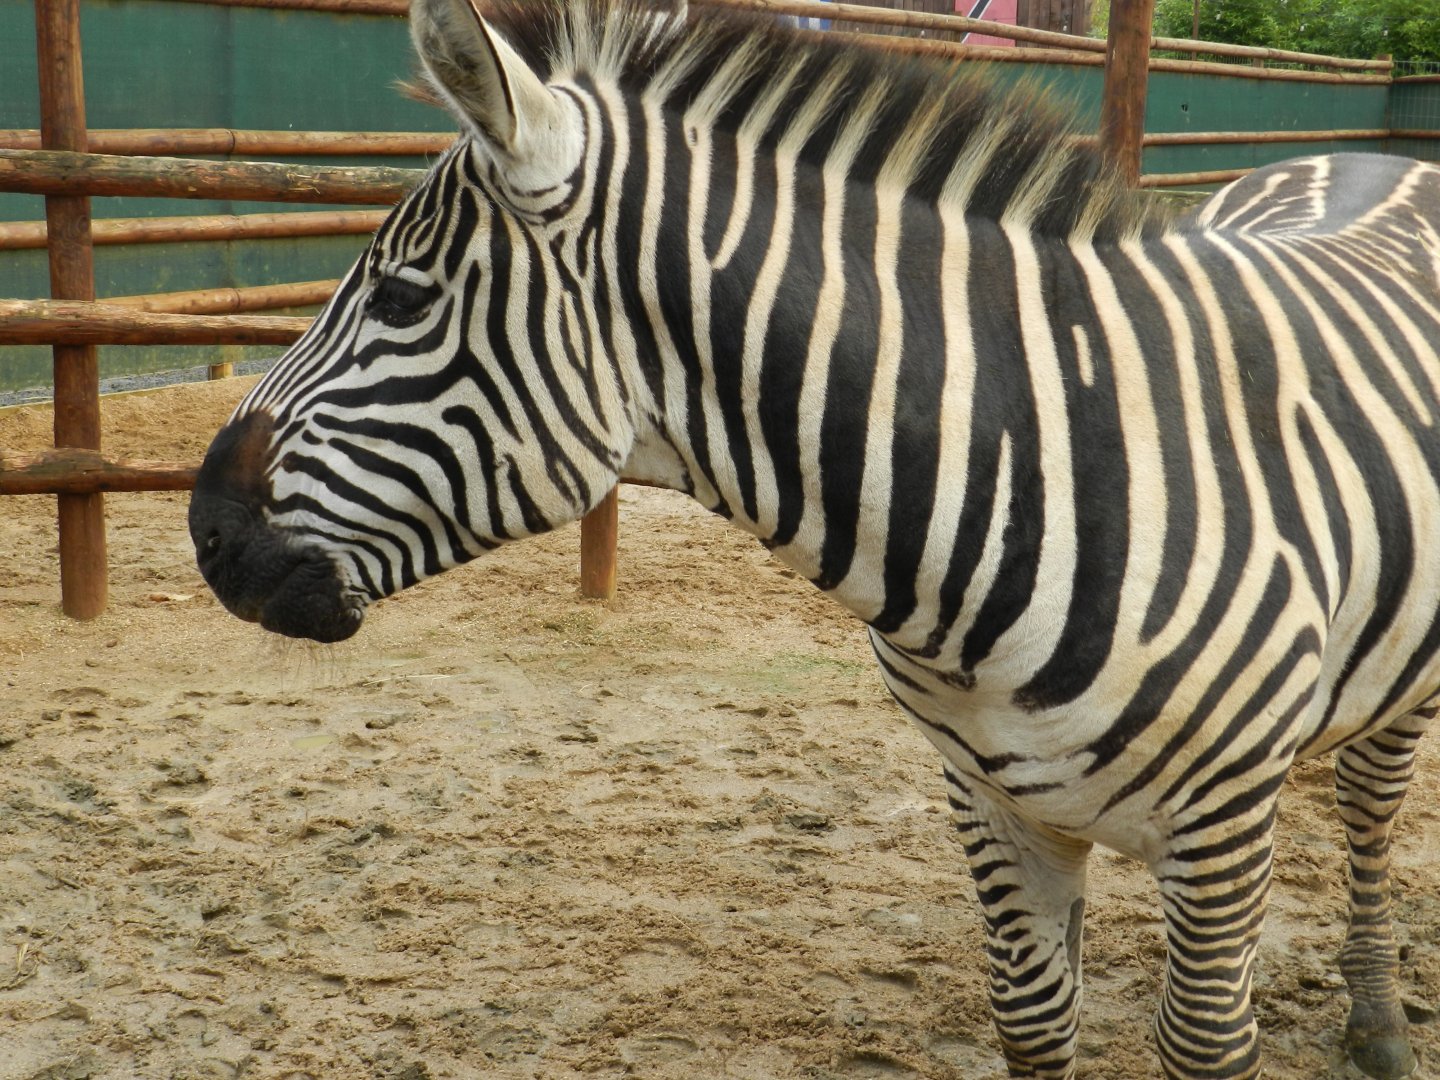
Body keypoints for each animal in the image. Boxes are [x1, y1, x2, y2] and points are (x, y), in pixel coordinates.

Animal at [186, 0, 1440, 1076]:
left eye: (400, 298)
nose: (207, 534)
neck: (1035, 469)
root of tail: (1382, 158)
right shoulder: (988, 796)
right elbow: (1034, 1022)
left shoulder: (1221, 830)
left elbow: (1206, 1043)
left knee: (1371, 809)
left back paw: (1379, 1021)